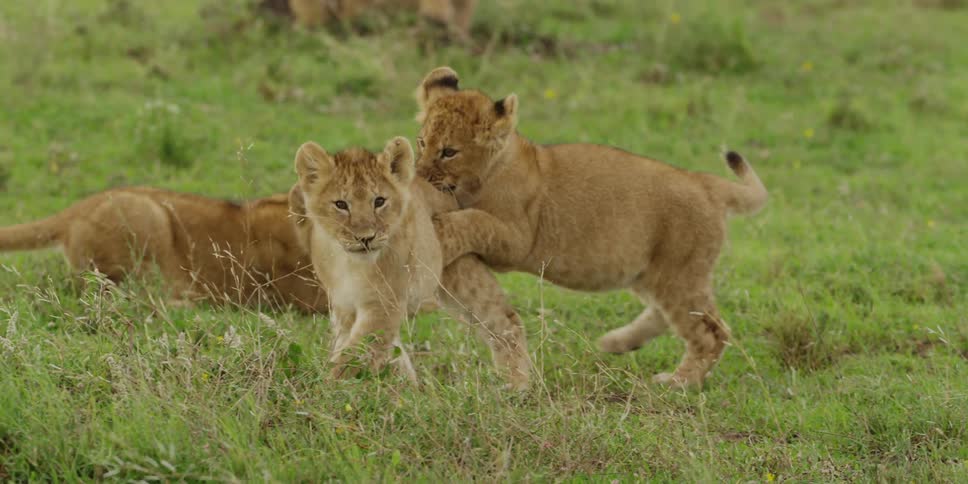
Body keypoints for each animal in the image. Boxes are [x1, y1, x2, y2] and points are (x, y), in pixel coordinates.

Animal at [290, 136, 529, 385]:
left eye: (379, 201)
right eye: (340, 204)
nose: (366, 238)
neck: (349, 263)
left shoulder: (384, 304)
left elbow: (354, 357)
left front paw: (327, 387)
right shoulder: (344, 307)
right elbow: (374, 350)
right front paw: (407, 387)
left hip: (462, 276)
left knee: (506, 324)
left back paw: (516, 386)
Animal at [413, 67, 768, 388]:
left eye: (449, 152)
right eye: (421, 142)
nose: (418, 175)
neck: (486, 173)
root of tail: (706, 183)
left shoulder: (517, 239)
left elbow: (474, 220)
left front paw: (437, 230)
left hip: (678, 271)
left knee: (713, 332)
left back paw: (679, 381)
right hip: (653, 273)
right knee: (668, 314)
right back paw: (618, 342)